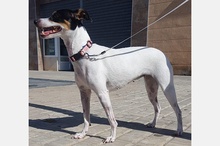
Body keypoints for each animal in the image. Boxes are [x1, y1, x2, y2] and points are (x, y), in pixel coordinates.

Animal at [34, 8, 182, 143]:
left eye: (55, 15)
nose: (35, 21)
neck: (84, 53)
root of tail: (160, 51)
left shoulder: (102, 93)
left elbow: (111, 119)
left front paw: (112, 137)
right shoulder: (84, 93)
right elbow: (86, 118)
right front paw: (82, 134)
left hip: (167, 87)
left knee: (178, 110)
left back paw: (179, 130)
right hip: (151, 89)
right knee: (157, 107)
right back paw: (153, 124)